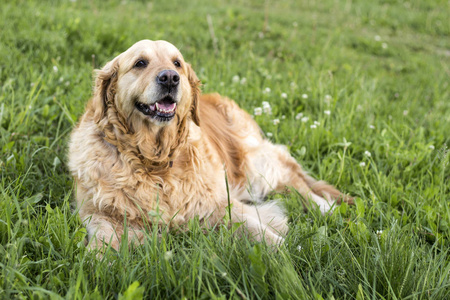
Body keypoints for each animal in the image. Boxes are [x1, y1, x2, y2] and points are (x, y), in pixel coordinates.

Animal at [68, 39, 354, 251]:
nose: (170, 78)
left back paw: (326, 208)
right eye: (140, 63)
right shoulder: (99, 213)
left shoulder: (218, 204)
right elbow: (102, 244)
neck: (154, 161)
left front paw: (289, 253)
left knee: (295, 180)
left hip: (254, 166)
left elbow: (260, 231)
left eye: (177, 63)